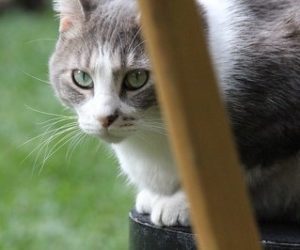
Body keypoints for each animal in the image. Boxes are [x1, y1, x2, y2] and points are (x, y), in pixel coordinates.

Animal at [48, 0, 300, 227]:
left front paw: (180, 204)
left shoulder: (280, 112)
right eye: (82, 77)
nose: (104, 117)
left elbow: (238, 163)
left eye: (137, 78)